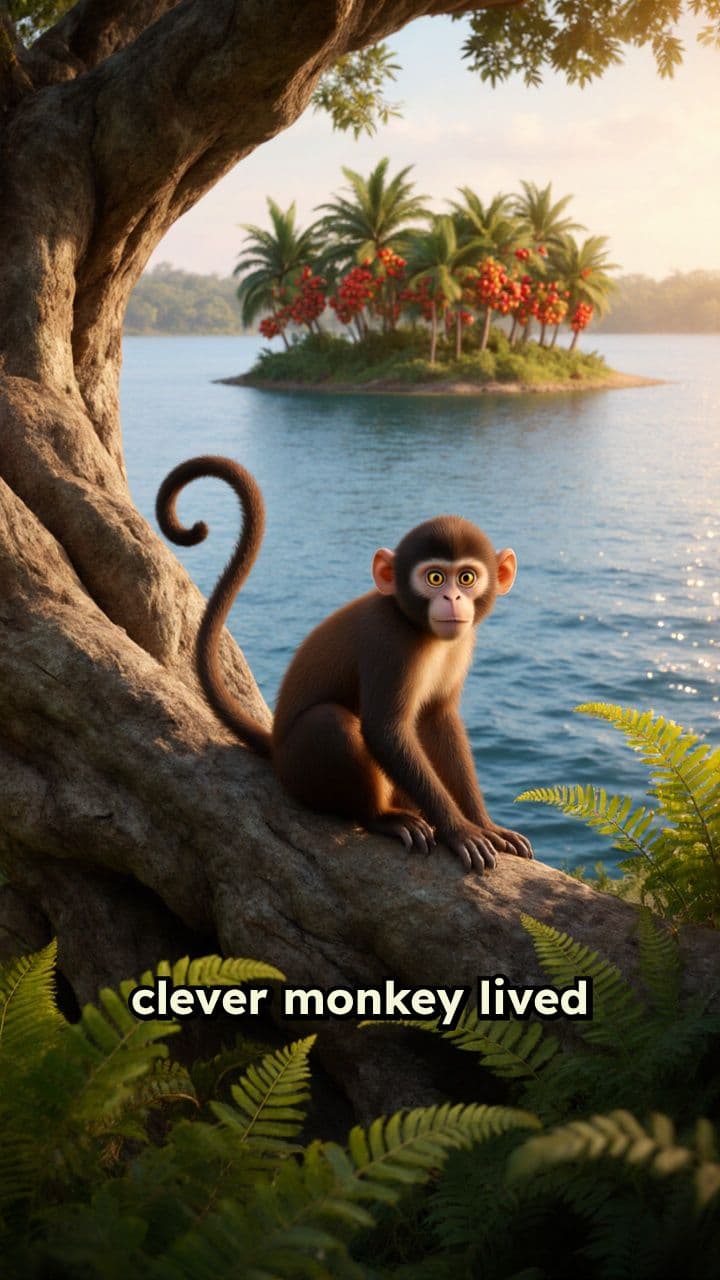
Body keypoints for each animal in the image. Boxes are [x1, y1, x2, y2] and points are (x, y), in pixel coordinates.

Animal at [156, 456, 533, 874]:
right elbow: (385, 731)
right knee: (330, 721)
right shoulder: (390, 640)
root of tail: (276, 749)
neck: (419, 628)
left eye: (466, 577)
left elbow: (439, 719)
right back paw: (381, 818)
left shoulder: (461, 643)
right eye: (435, 577)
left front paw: (485, 824)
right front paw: (460, 831)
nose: (452, 598)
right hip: (300, 771)